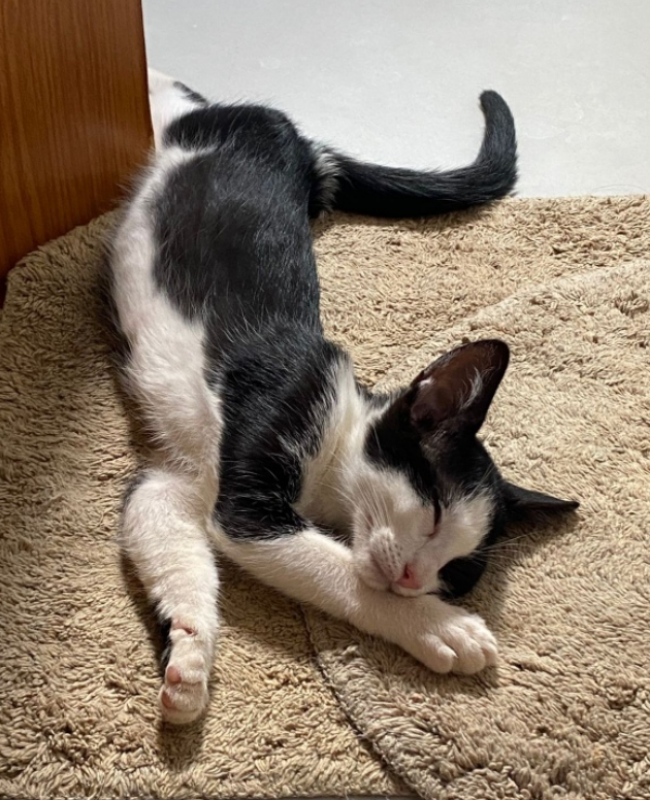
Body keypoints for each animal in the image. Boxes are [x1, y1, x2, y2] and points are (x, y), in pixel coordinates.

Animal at [107, 70, 578, 724]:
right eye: (435, 510)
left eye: (457, 571)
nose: (412, 579)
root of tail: (304, 147)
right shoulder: (277, 425)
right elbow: (336, 569)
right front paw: (439, 627)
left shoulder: (180, 481)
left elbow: (159, 526)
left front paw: (188, 659)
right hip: (197, 128)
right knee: (175, 101)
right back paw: (156, 76)